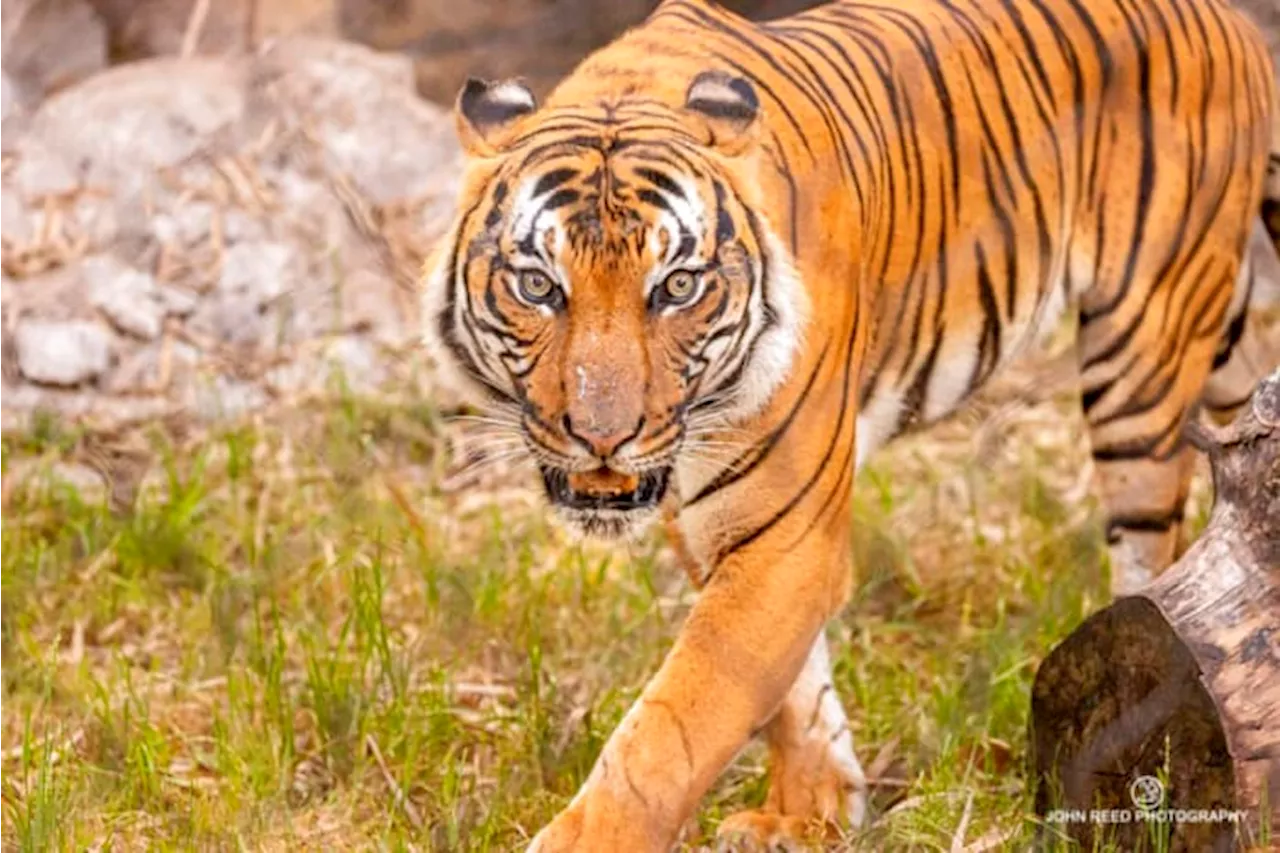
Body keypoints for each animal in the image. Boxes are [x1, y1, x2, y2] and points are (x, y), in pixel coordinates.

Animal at [422, 0, 1280, 845]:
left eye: (677, 287)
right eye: (538, 285)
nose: (603, 436)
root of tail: (1233, 23)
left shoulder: (784, 533)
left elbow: (675, 724)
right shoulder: (722, 524)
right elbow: (790, 691)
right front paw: (813, 814)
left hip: (1141, 352)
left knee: (1152, 554)